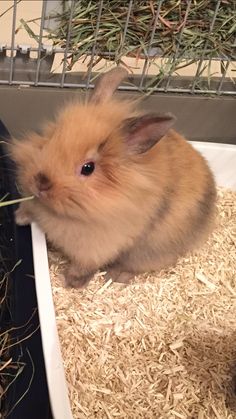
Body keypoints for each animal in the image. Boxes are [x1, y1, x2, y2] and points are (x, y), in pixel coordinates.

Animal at [8, 67, 216, 288]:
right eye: (51, 139)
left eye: (88, 168)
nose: (40, 183)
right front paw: (20, 218)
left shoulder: (97, 246)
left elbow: (84, 265)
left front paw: (72, 281)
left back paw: (115, 275)